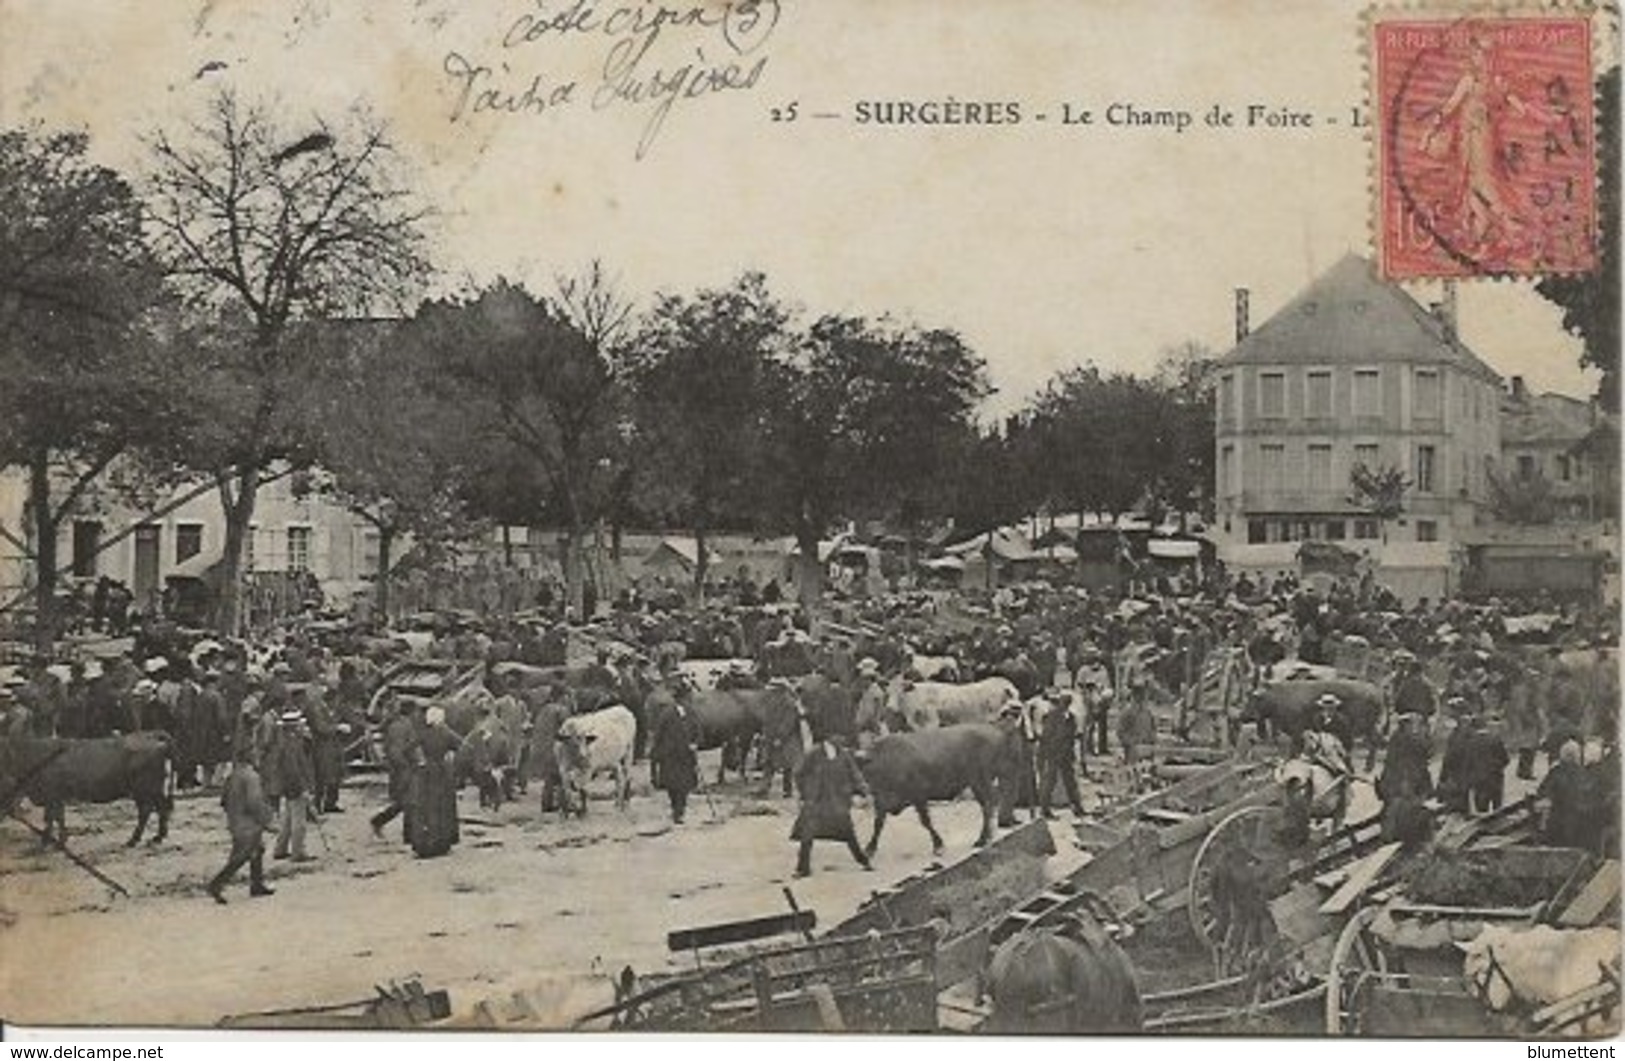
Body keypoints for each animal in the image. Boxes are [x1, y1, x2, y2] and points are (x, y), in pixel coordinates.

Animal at [0, 727, 176, 844]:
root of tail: (152, 735)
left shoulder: (52, 794)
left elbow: (52, 817)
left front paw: (48, 839)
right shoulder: (55, 796)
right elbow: (57, 816)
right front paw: (59, 838)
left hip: (145, 788)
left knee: (149, 810)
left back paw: (138, 839)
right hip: (150, 789)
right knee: (157, 808)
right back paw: (156, 836)